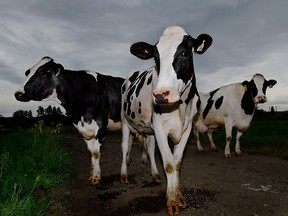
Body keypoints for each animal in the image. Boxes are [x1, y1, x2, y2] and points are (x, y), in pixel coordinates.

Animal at [14, 56, 126, 185]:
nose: (18, 94)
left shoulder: (101, 124)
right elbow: (91, 152)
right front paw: (92, 175)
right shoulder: (84, 129)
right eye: (28, 72)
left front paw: (96, 177)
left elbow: (96, 153)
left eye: (42, 72)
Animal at [120, 25, 213, 214]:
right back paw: (124, 174)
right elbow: (169, 164)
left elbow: (177, 163)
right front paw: (171, 202)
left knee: (149, 148)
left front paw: (179, 196)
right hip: (125, 120)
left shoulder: (186, 128)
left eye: (185, 53)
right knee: (125, 147)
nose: (161, 95)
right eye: (156, 57)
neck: (181, 106)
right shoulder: (160, 127)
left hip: (148, 129)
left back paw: (155, 175)